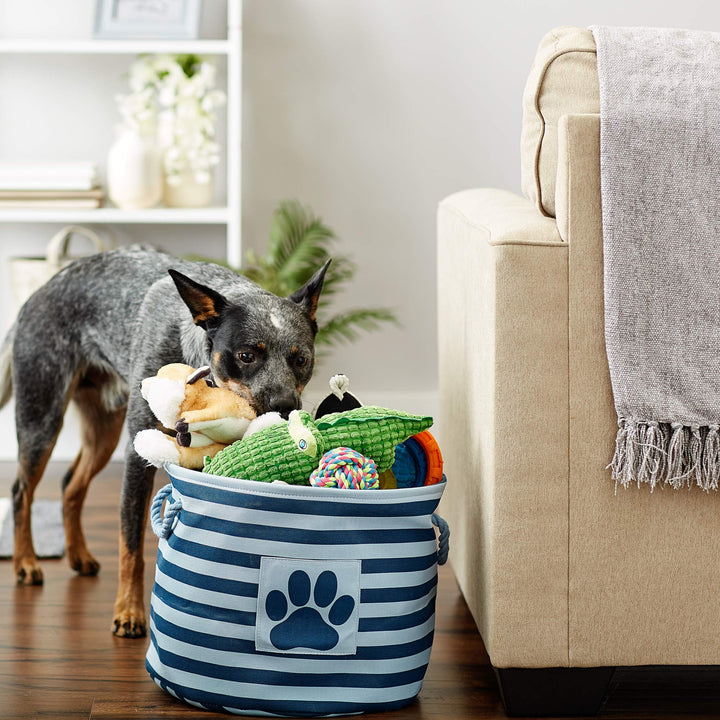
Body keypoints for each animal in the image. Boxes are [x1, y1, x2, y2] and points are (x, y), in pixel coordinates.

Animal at [0, 246, 330, 636]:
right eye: (247, 356)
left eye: (301, 359)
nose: (284, 406)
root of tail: (37, 294)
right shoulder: (137, 454)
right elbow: (131, 545)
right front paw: (129, 612)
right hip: (43, 417)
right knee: (22, 490)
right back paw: (25, 562)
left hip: (104, 429)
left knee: (70, 484)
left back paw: (78, 555)